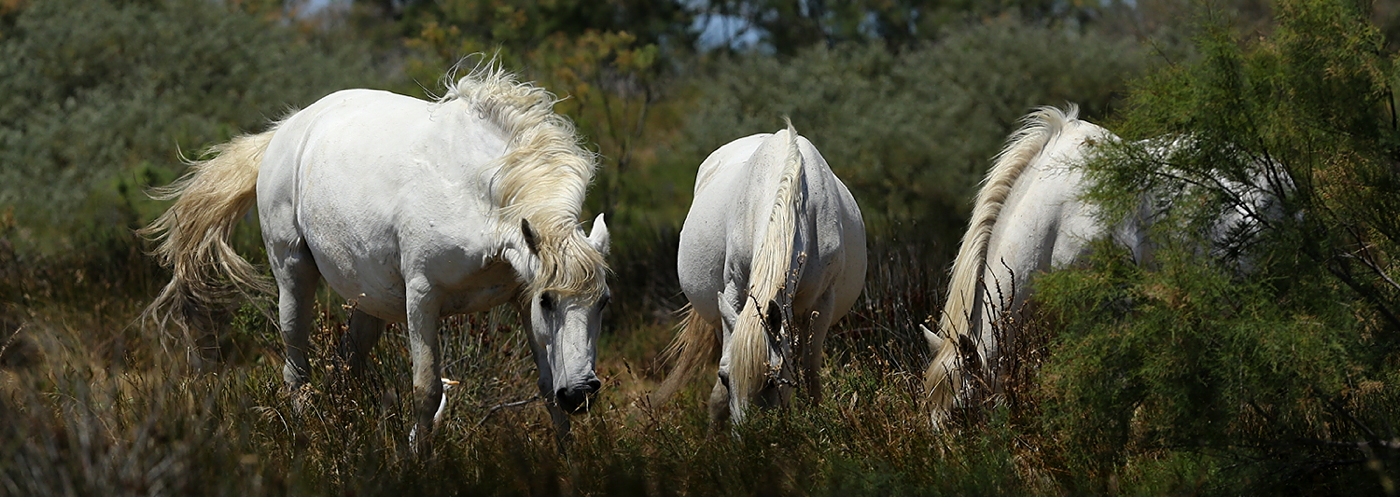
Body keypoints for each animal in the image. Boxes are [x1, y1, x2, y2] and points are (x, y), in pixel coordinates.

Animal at [140, 64, 613, 450]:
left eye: (603, 302)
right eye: (549, 301)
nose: (580, 394)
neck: (477, 193)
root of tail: (286, 130)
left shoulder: (519, 297)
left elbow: (546, 388)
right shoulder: (423, 298)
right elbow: (426, 391)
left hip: (370, 299)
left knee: (349, 364)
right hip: (293, 276)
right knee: (296, 370)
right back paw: (305, 443)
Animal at [655, 122, 862, 425]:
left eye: (772, 381)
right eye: (725, 378)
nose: (750, 435)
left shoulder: (822, 304)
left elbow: (810, 377)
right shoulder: (733, 288)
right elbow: (720, 391)